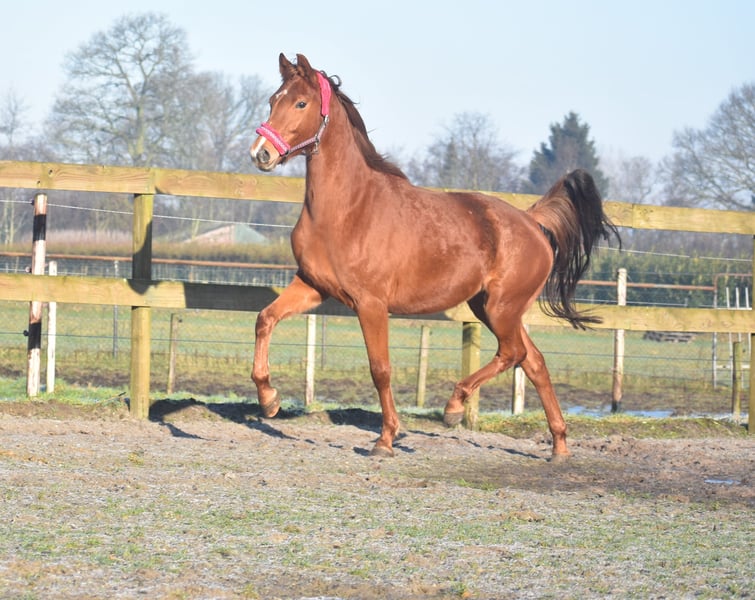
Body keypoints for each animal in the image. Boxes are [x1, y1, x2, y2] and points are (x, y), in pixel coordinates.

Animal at [250, 53, 620, 459]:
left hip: (501, 308)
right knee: (533, 361)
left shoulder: (371, 303)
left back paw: (454, 407)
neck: (347, 209)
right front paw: (269, 399)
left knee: (513, 353)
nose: (261, 153)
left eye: (301, 103)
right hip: (489, 307)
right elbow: (265, 319)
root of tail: (532, 221)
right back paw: (559, 446)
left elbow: (380, 368)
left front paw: (386, 439)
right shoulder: (313, 286)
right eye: (272, 100)